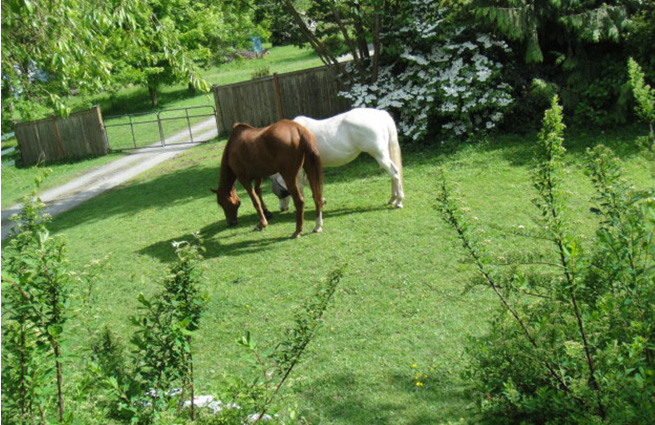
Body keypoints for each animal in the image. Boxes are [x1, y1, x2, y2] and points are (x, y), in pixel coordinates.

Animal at [270, 108, 402, 210]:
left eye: (280, 192)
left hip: (380, 156)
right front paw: (322, 201)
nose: (282, 208)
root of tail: (380, 114)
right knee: (393, 175)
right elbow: (310, 183)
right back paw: (393, 199)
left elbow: (301, 185)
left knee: (394, 173)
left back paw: (399, 202)